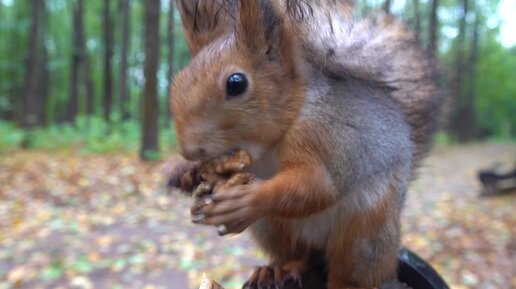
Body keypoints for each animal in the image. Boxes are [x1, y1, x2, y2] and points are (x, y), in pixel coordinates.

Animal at [169, 1, 444, 286]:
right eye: (179, 79)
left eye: (236, 83)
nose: (189, 150)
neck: (268, 144)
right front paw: (185, 173)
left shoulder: (321, 134)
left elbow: (317, 186)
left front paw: (248, 201)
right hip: (272, 226)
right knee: (297, 253)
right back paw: (277, 269)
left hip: (365, 230)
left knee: (351, 270)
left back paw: (345, 282)